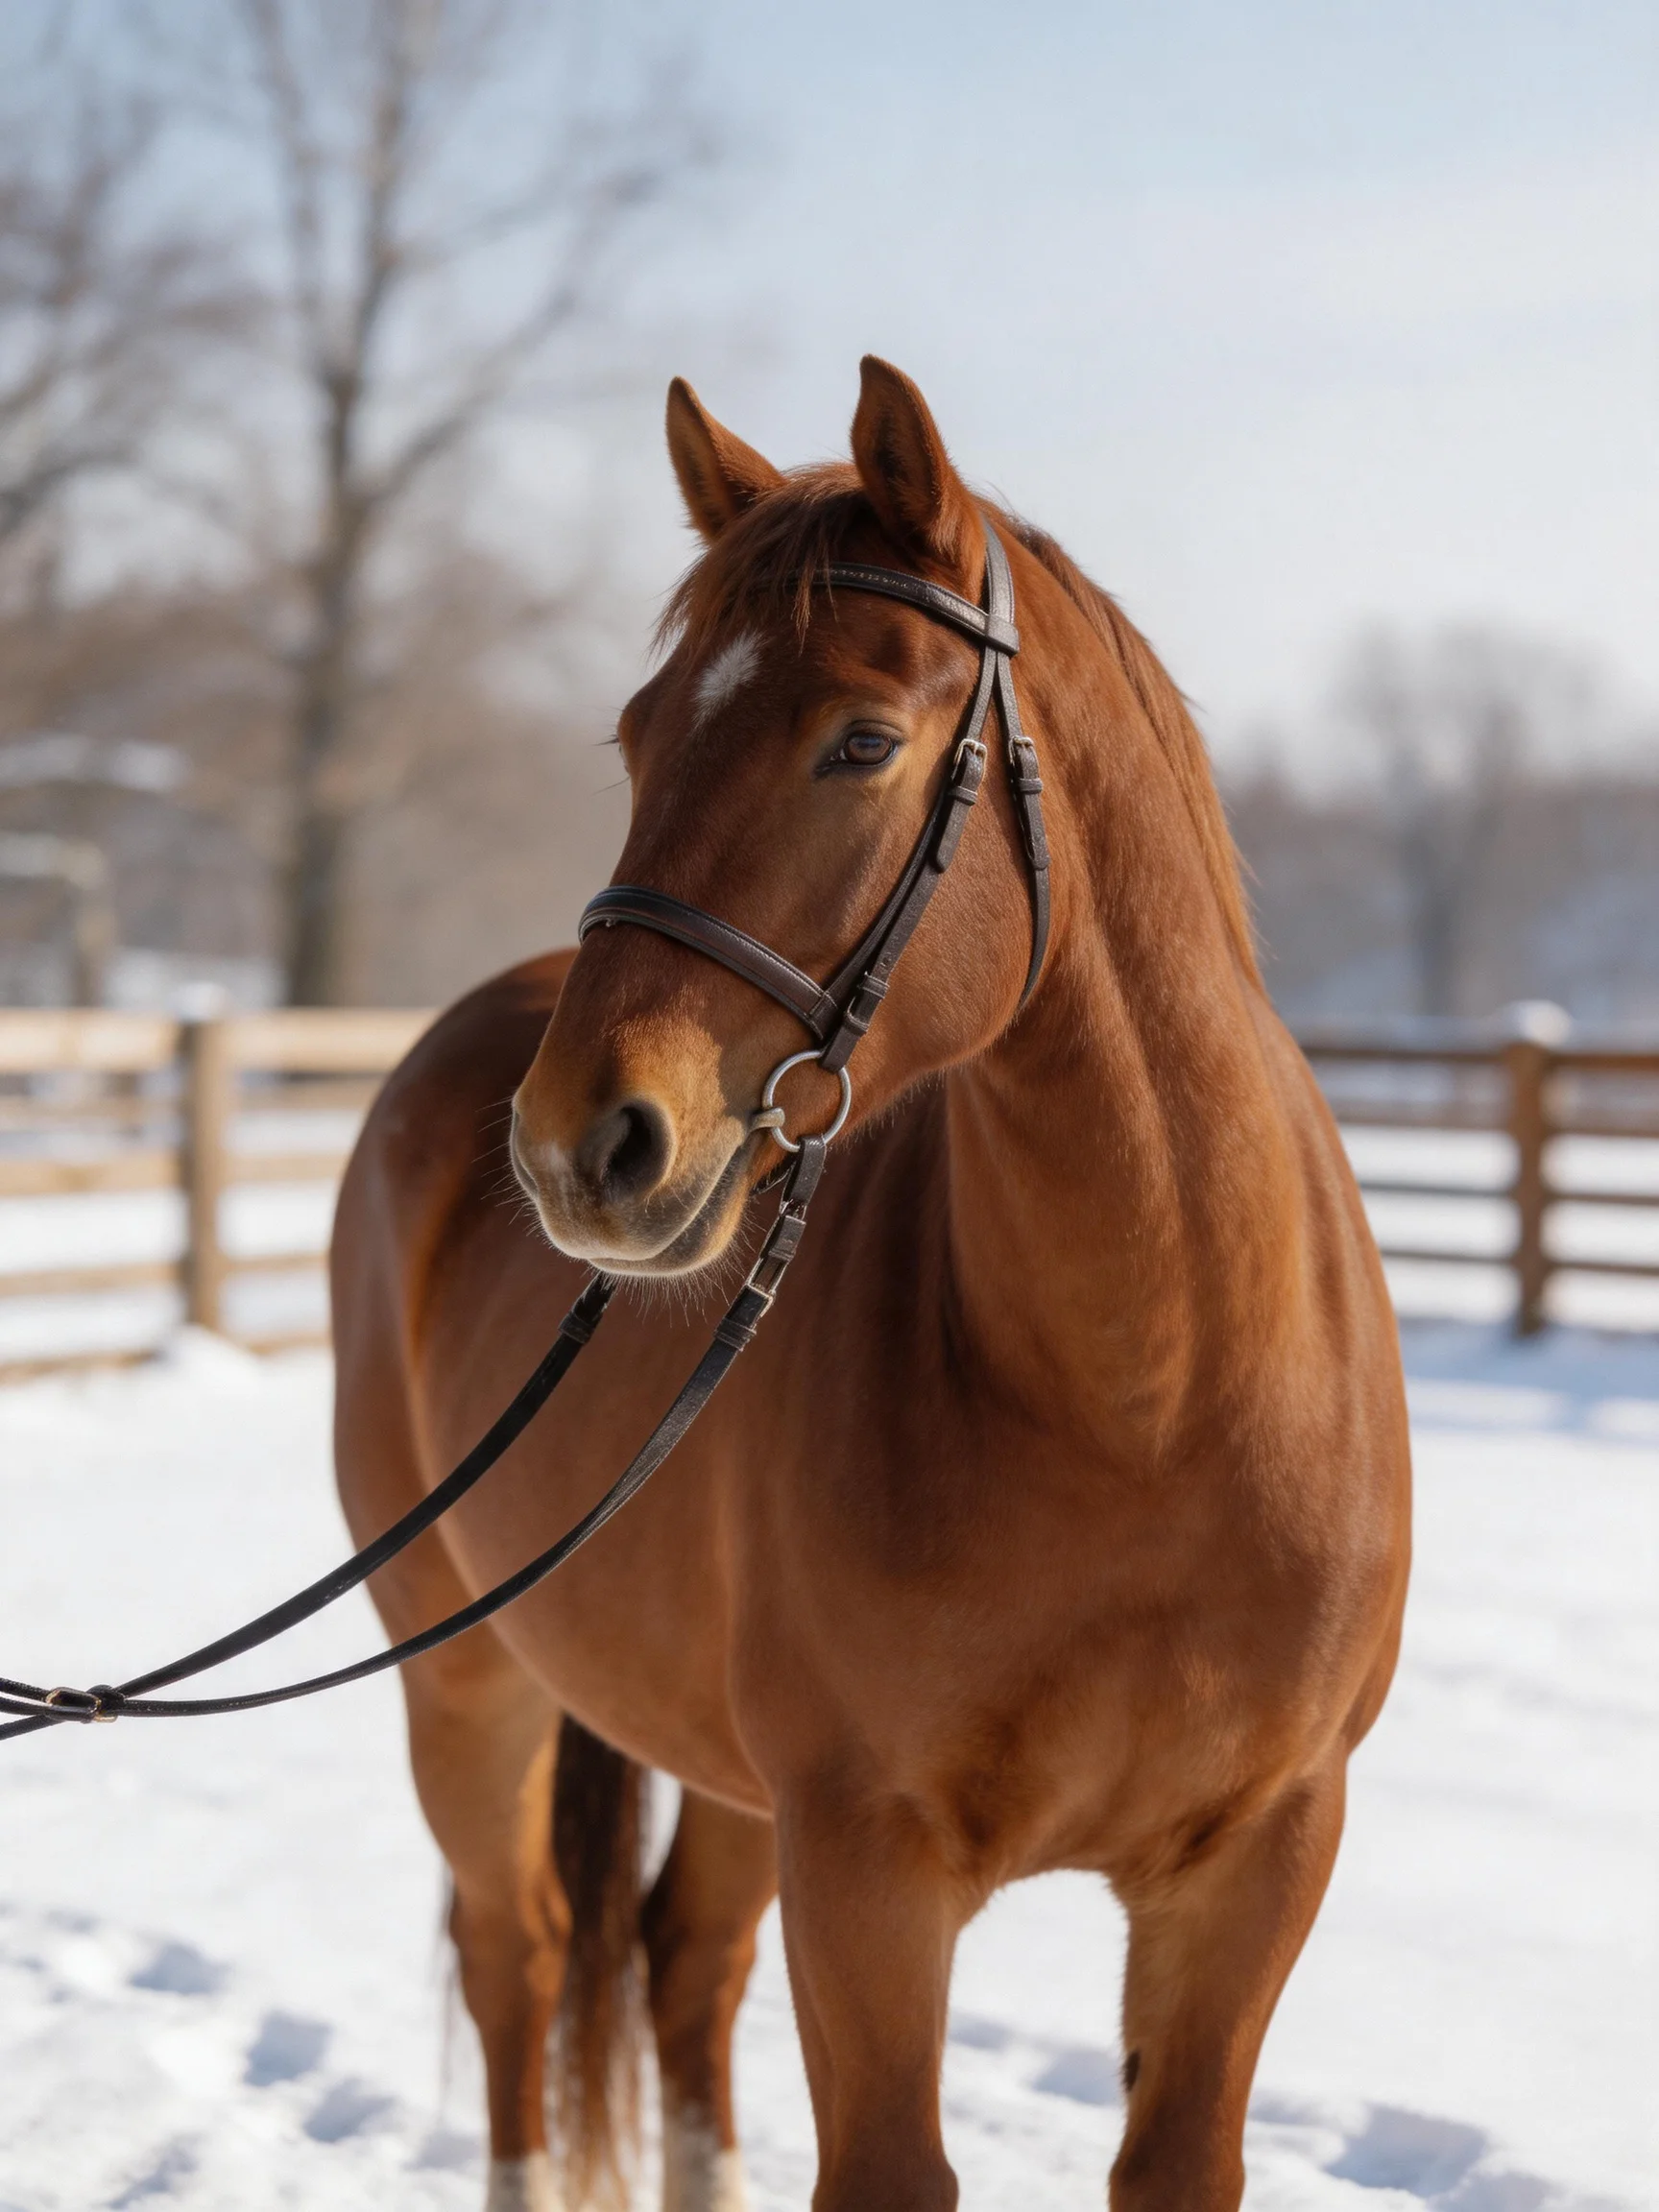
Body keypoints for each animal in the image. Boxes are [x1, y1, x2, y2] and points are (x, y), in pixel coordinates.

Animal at [331, 355, 1411, 2212]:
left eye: (861, 740)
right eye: (639, 734)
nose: (578, 1146)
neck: (1158, 1397)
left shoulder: (1255, 1865)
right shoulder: (869, 1871)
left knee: (681, 1965)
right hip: (463, 1680)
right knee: (518, 1956)